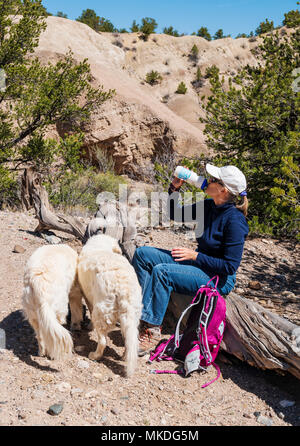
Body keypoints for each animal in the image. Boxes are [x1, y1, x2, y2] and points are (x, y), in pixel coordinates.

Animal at [77, 233, 143, 376]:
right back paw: (124, 357)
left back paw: (95, 355)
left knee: (102, 341)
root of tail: (123, 286)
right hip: (131, 315)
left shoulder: (88, 296)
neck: (101, 247)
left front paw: (89, 326)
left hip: (101, 312)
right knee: (129, 340)